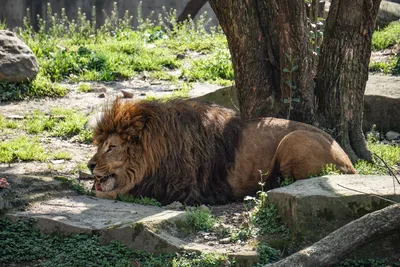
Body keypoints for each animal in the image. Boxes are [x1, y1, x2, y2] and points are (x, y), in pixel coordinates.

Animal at [88, 99, 356, 206]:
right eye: (99, 145)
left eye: (111, 147)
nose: (90, 165)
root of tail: (349, 162)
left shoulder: (174, 190)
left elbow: (112, 193)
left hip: (292, 140)